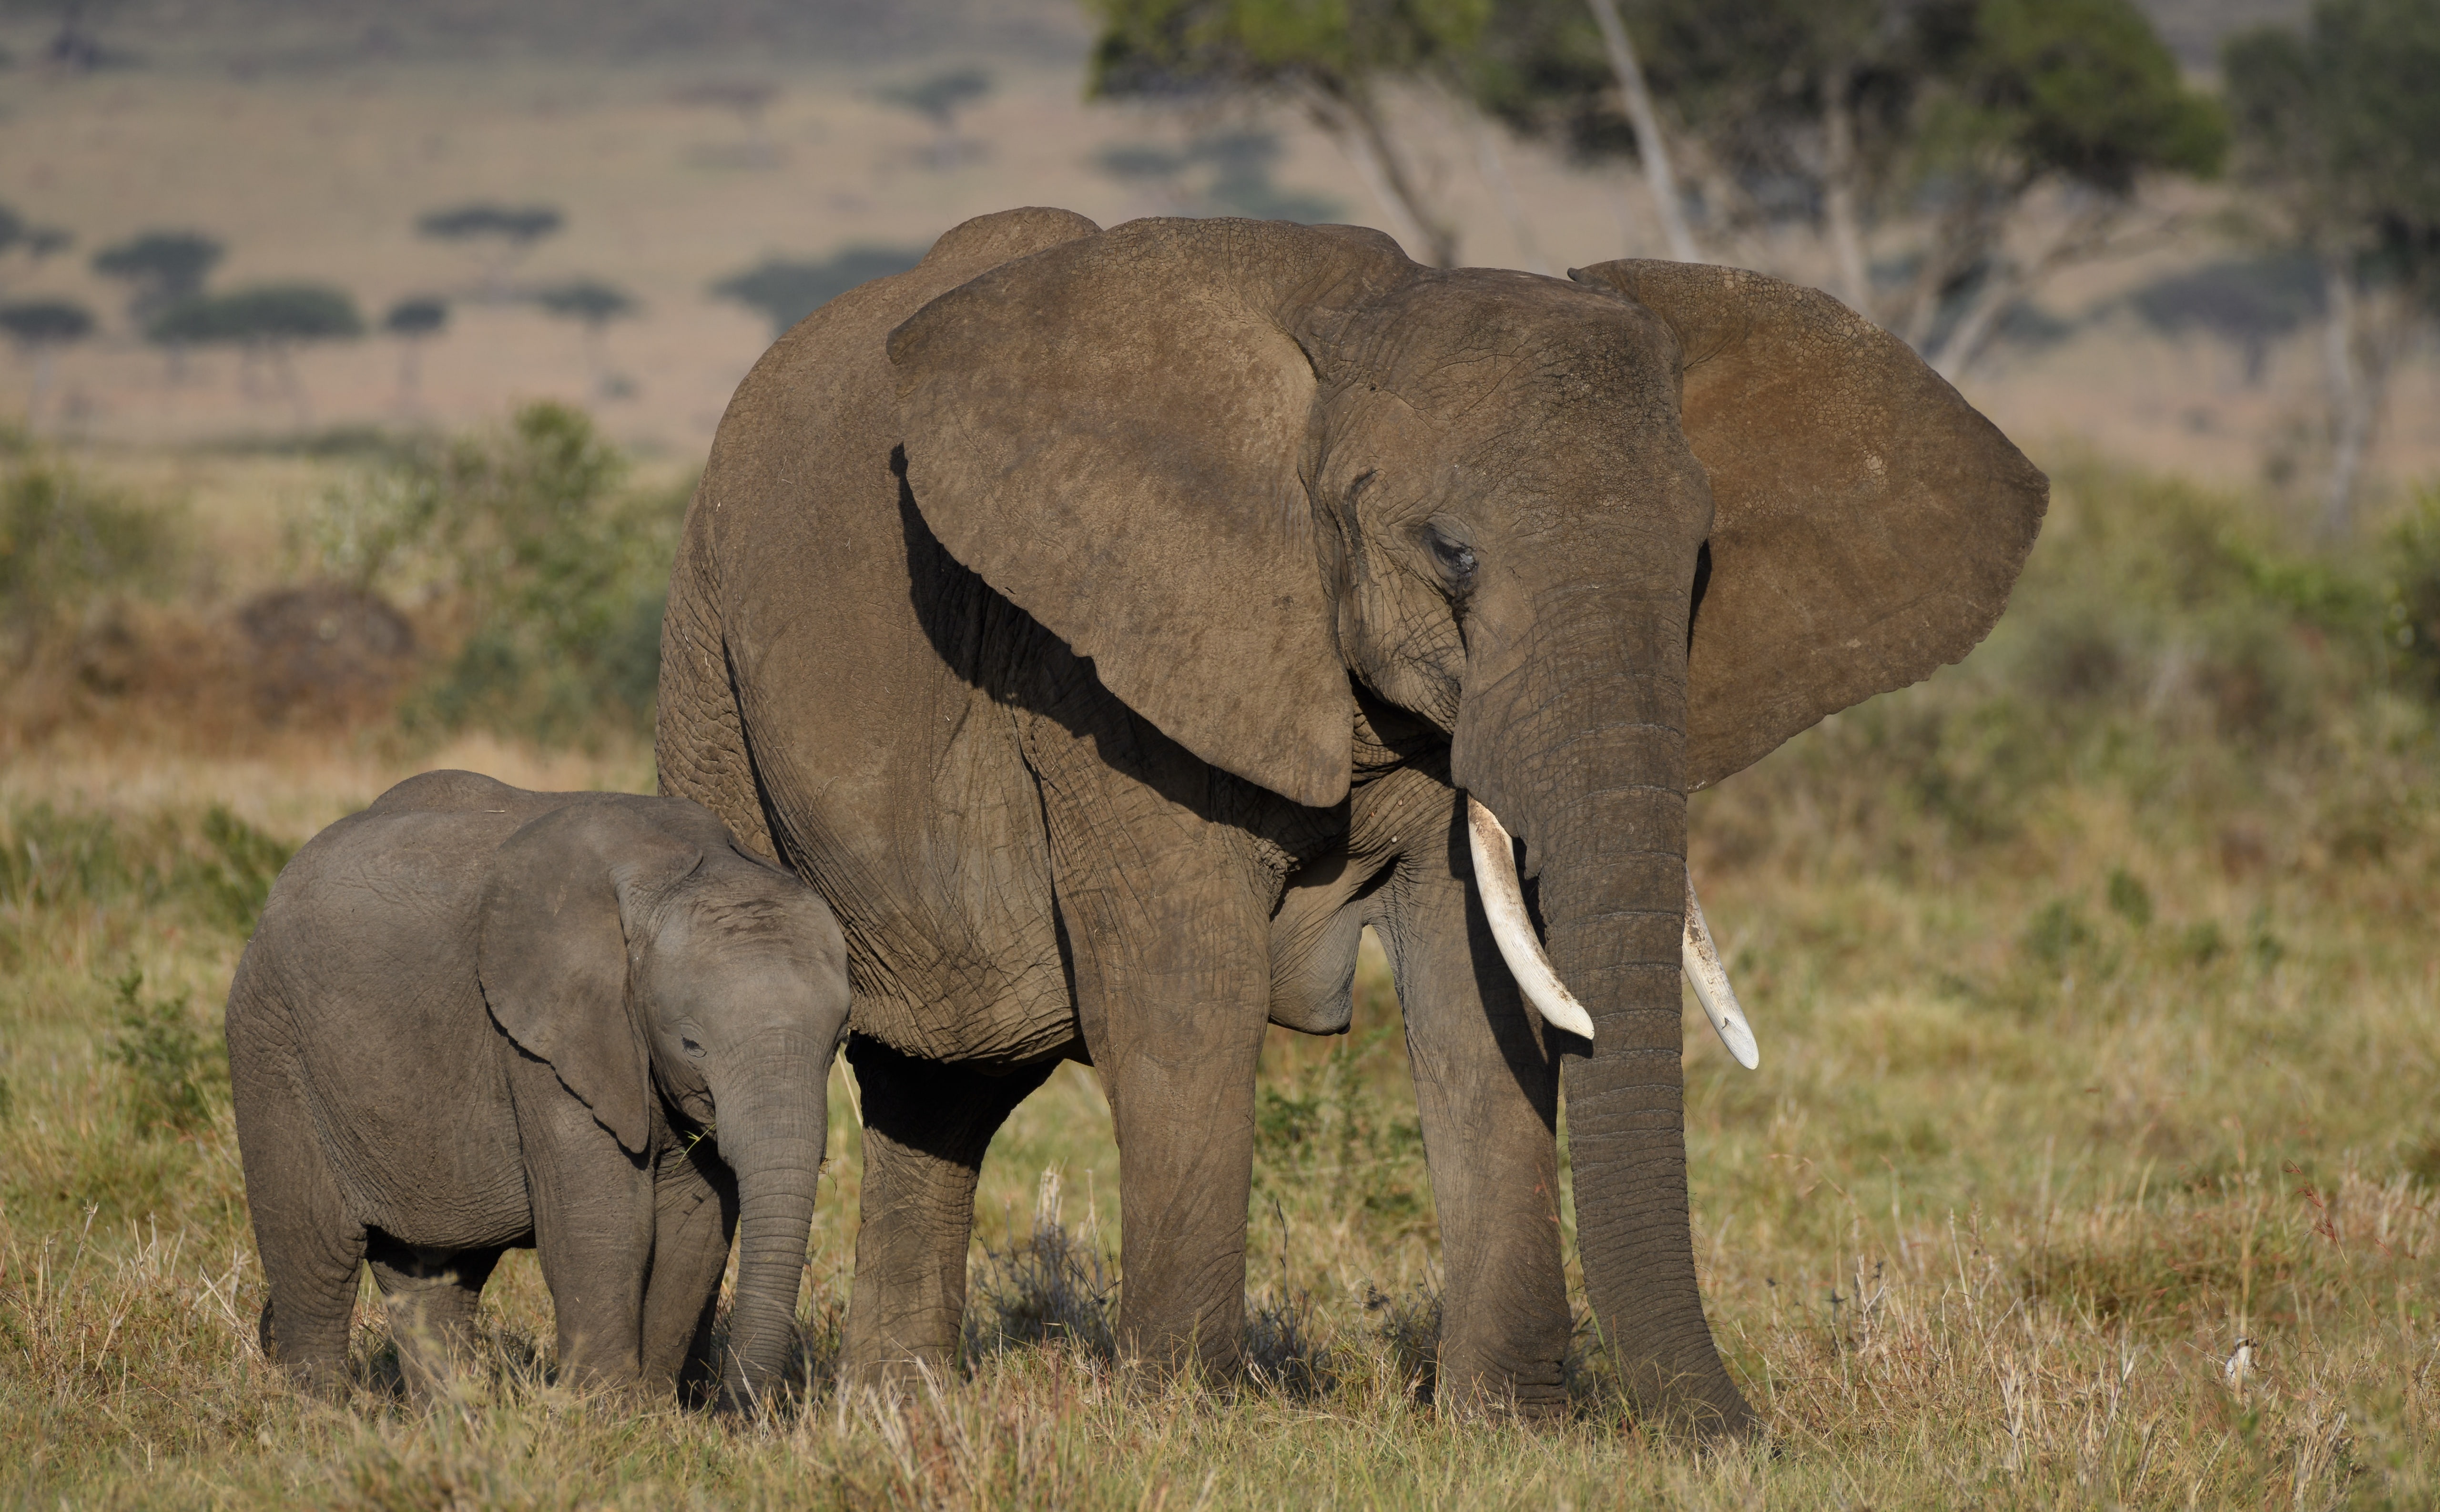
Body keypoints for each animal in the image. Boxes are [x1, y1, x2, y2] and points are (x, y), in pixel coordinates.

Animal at [226, 771, 850, 1405]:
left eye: (840, 1041)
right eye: (691, 1043)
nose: (737, 1412)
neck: (683, 867)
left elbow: (691, 1228)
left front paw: (652, 1414)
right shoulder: (544, 1041)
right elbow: (603, 1224)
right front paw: (607, 1415)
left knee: (433, 1273)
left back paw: (452, 1417)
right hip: (271, 1041)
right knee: (316, 1253)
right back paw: (322, 1412)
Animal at [654, 208, 2046, 1436]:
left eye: (1699, 566)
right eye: (1451, 552)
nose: (1743, 1435)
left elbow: (1477, 992)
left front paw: (1508, 1428)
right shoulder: (1102, 668)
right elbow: (1184, 988)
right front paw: (1191, 1417)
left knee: (938, 1088)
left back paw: (892, 1409)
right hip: (709, 663)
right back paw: (699, 1403)